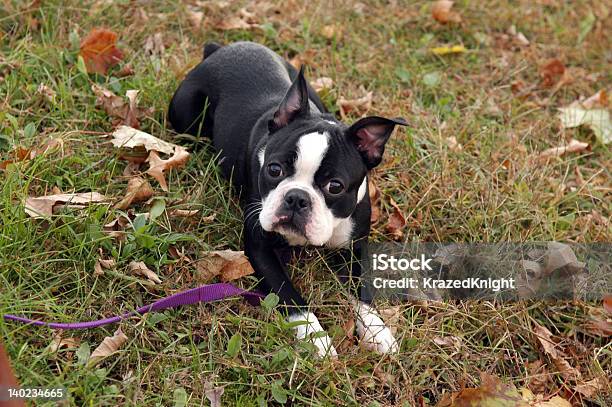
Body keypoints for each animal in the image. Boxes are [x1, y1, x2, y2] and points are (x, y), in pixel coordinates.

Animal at [167, 41, 406, 356]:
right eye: (274, 169)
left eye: (335, 186)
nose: (296, 198)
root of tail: (225, 47)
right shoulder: (260, 248)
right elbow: (290, 296)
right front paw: (315, 337)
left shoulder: (355, 248)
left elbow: (363, 291)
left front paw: (377, 330)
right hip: (186, 117)